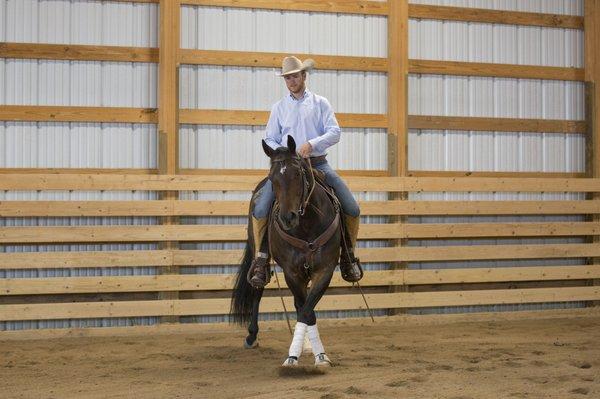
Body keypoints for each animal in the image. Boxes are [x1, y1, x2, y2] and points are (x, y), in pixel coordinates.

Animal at [231, 136, 342, 368]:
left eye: (298, 174)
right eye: (273, 178)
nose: (287, 218)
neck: (307, 225)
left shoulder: (324, 270)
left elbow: (307, 310)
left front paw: (318, 355)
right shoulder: (292, 272)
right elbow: (305, 310)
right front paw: (294, 356)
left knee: (301, 305)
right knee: (258, 289)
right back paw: (251, 336)